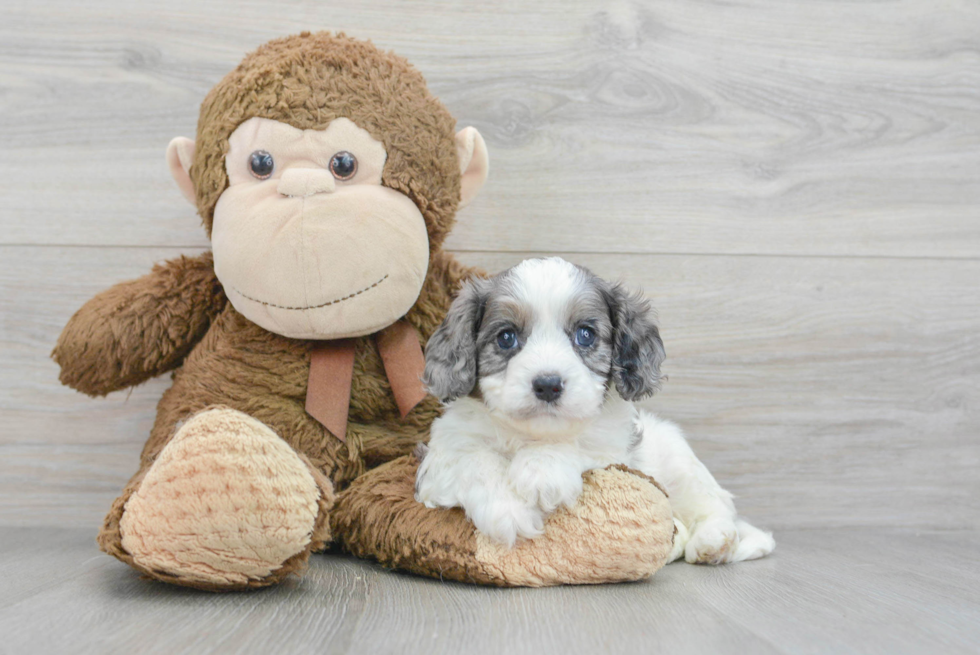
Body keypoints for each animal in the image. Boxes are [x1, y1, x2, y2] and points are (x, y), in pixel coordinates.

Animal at [414, 258, 772, 568]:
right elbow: (474, 460)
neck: (532, 435)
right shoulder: (441, 457)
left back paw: (715, 541)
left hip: (681, 464)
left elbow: (580, 444)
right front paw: (508, 511)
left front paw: (543, 469)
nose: (548, 384)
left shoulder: (615, 454)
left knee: (717, 505)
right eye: (506, 338)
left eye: (585, 335)